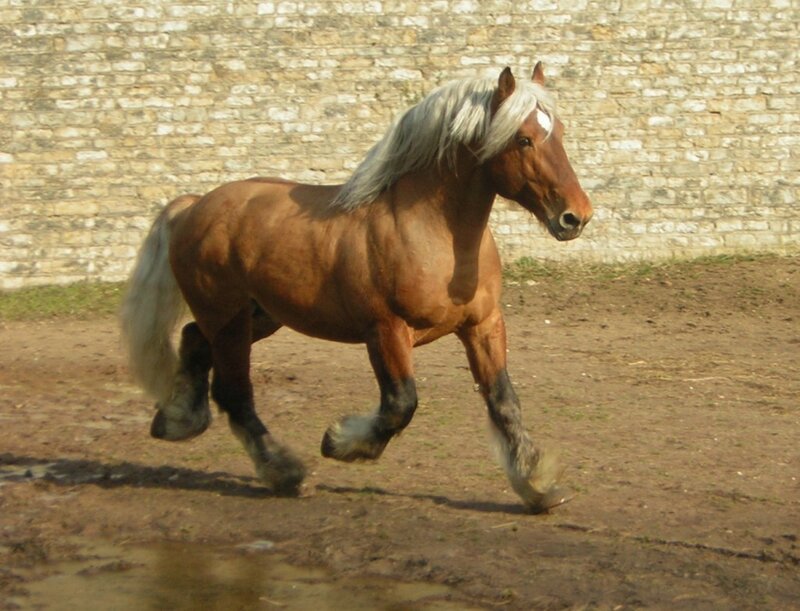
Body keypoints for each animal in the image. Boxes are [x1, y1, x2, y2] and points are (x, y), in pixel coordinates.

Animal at [120, 63, 592, 512]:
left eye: (559, 133)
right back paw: (284, 471)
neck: (434, 234)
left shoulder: (483, 325)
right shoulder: (386, 330)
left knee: (193, 340)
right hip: (230, 320)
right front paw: (339, 442)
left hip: (257, 316)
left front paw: (538, 487)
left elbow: (503, 401)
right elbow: (401, 404)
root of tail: (193, 207)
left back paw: (177, 419)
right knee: (235, 393)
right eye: (524, 139)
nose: (576, 216)